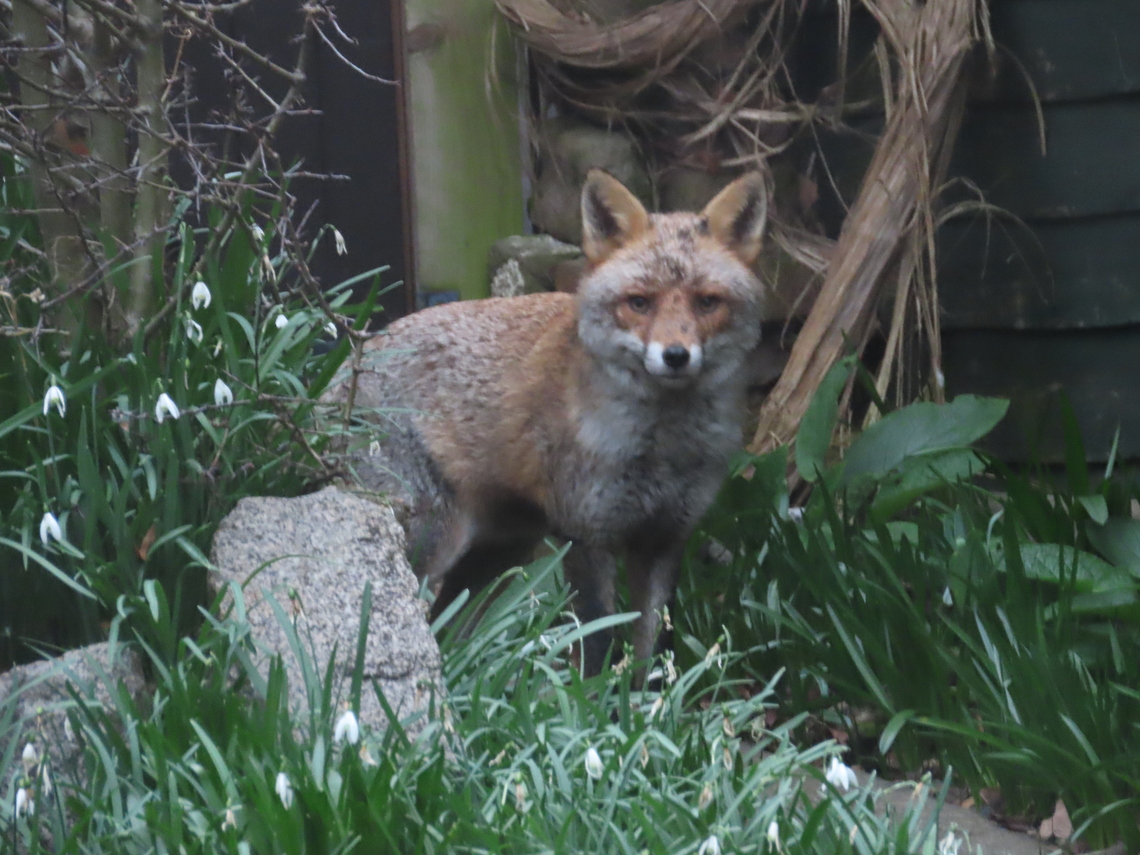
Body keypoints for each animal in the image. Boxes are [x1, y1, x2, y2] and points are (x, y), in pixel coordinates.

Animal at [329, 169, 771, 680]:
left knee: (447, 624)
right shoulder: (585, 534)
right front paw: (599, 701)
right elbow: (598, 643)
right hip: (431, 540)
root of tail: (339, 373)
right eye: (639, 302)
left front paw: (651, 700)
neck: (661, 448)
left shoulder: (665, 537)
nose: (676, 356)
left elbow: (657, 651)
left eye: (706, 303)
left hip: (499, 552)